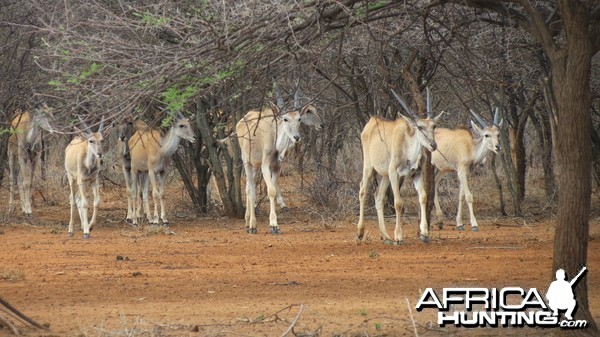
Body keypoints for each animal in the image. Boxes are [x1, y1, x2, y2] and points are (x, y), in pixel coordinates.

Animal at [356, 89, 440, 242]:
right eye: (420, 127)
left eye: (434, 126)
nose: (433, 145)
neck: (408, 145)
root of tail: (371, 122)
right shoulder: (394, 173)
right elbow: (398, 203)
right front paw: (399, 236)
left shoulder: (416, 173)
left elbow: (423, 197)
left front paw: (425, 233)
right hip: (369, 167)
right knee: (363, 191)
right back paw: (360, 232)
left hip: (385, 175)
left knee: (378, 196)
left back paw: (385, 235)